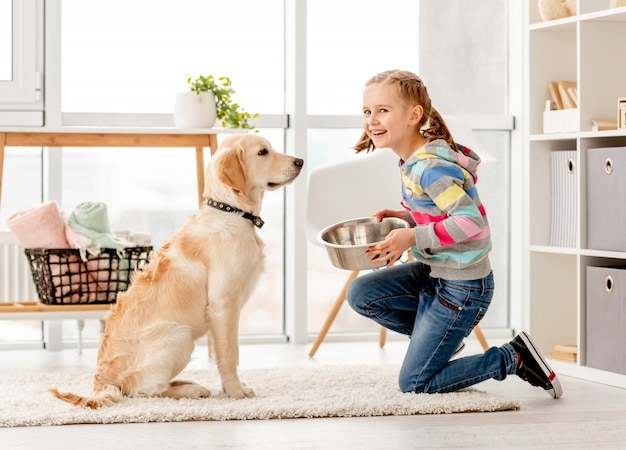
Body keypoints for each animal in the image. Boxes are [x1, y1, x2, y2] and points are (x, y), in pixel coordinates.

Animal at [49, 134, 302, 408]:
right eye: (262, 152)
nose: (300, 161)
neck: (231, 212)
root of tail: (102, 377)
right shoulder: (223, 304)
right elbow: (230, 353)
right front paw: (236, 392)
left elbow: (224, 352)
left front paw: (230, 388)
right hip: (180, 334)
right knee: (146, 390)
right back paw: (190, 390)